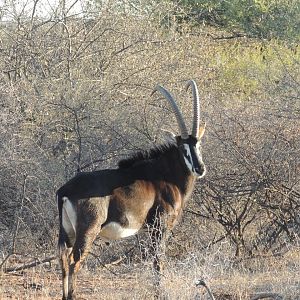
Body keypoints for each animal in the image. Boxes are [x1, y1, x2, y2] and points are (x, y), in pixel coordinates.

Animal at [56, 80, 206, 300]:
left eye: (199, 145)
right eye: (183, 148)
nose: (200, 168)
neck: (165, 174)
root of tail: (66, 190)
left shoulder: (148, 230)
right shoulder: (159, 226)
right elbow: (158, 261)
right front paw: (159, 293)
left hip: (66, 232)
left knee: (63, 260)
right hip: (88, 230)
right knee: (75, 261)